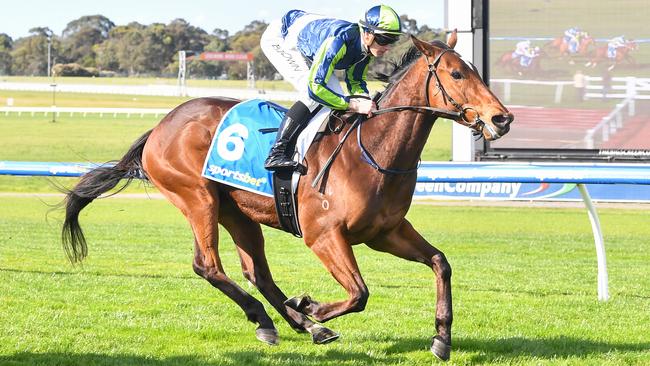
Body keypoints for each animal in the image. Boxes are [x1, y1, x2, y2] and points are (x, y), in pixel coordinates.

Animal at [59, 32, 512, 360]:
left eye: (473, 70)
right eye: (456, 74)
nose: (502, 118)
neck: (373, 150)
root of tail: (161, 125)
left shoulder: (386, 232)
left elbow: (440, 263)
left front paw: (441, 339)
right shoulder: (324, 235)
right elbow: (359, 293)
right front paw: (312, 306)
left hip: (238, 213)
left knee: (256, 272)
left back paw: (292, 323)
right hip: (197, 199)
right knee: (208, 266)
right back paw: (286, 318)